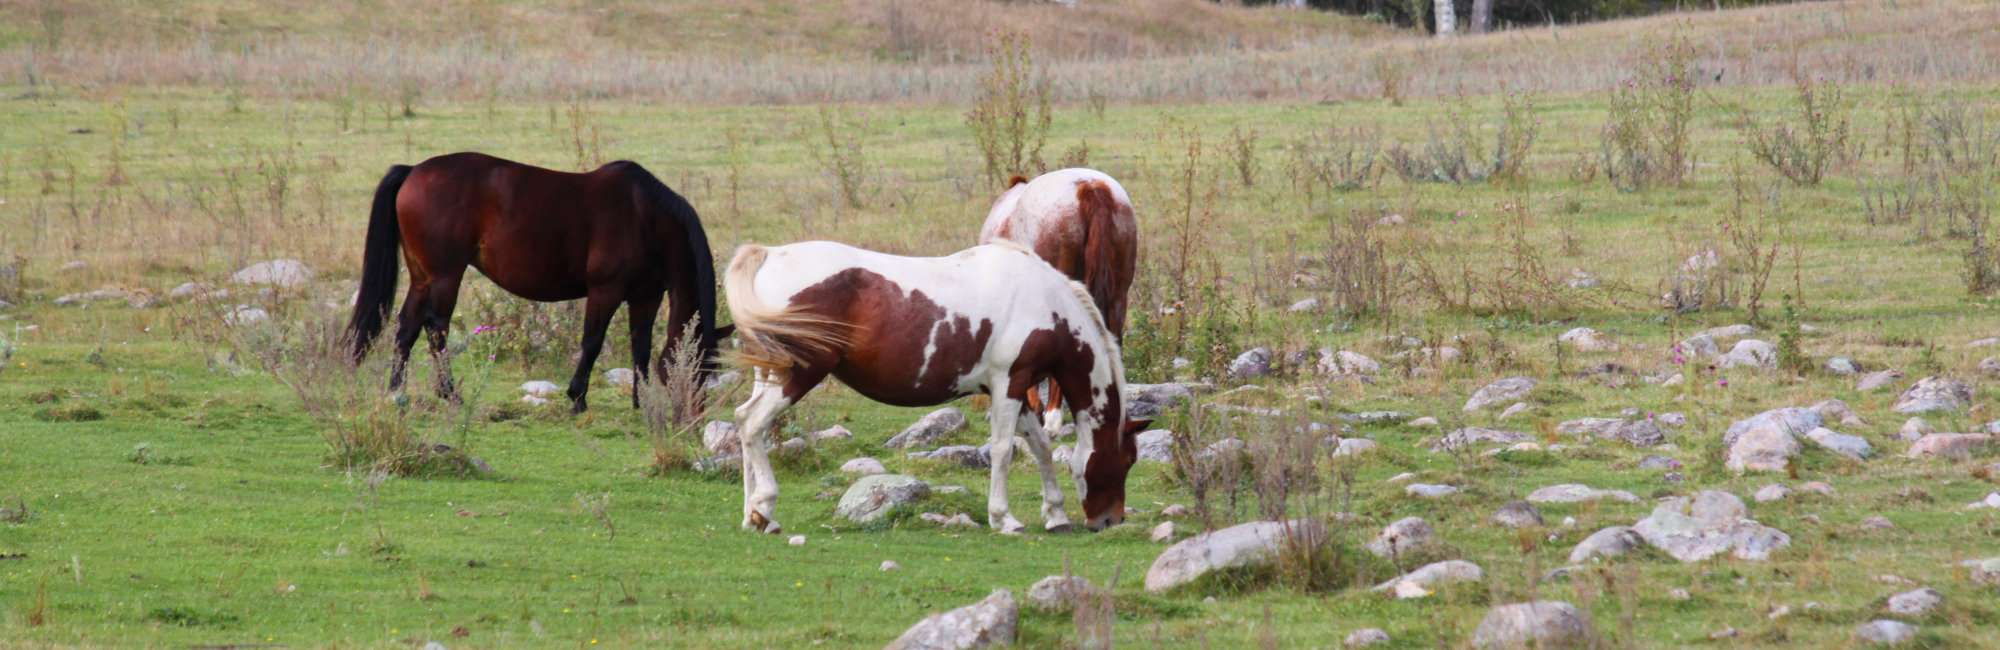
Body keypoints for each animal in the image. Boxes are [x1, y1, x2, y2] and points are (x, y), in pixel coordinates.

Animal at [348, 152, 732, 410]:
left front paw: (642, 401)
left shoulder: (645, 296)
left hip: (422, 276)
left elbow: (640, 347)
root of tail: (413, 171)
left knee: (407, 326)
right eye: (696, 366)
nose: (693, 413)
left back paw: (397, 391)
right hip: (445, 275)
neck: (645, 217)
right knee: (436, 327)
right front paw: (577, 397)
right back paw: (449, 393)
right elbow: (592, 341)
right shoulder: (605, 291)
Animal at [728, 240, 1152, 536]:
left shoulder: (1017, 388)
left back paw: (756, 516)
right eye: (1127, 460)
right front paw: (1004, 518)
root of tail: (769, 255)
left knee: (745, 425)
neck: (1045, 301)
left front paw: (1056, 515)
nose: (1111, 520)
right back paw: (764, 506)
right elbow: (1003, 450)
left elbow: (1041, 448)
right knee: (752, 424)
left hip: (770, 374)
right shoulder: (1010, 383)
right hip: (798, 375)